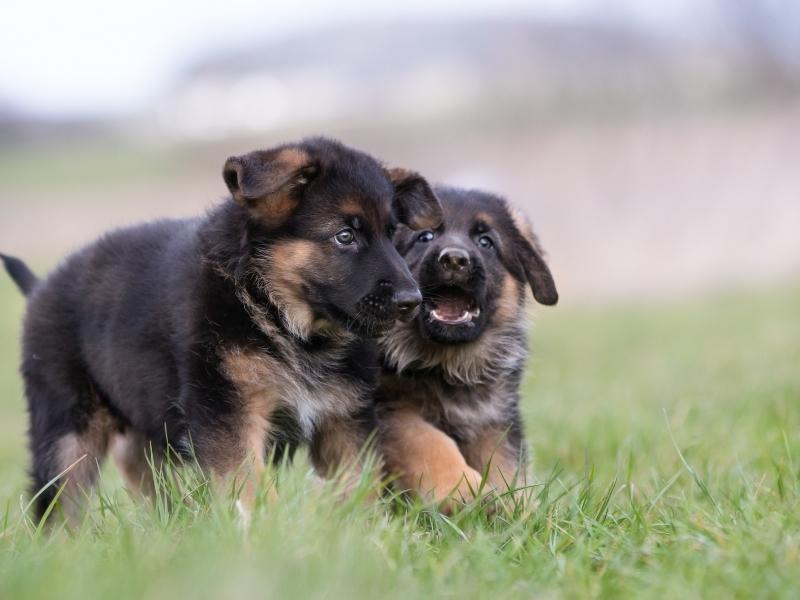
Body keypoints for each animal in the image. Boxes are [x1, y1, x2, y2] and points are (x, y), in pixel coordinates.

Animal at [0, 137, 440, 524]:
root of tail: (40, 286)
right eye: (345, 236)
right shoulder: (228, 411)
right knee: (60, 501)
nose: (412, 300)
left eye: (392, 234)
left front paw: (359, 540)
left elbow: (357, 490)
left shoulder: (344, 419)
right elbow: (248, 486)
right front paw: (261, 537)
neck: (279, 316)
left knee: (140, 467)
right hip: (66, 424)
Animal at [376, 185, 556, 508]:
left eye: (486, 242)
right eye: (425, 237)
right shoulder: (390, 409)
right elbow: (428, 442)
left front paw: (519, 507)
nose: (455, 260)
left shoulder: (491, 419)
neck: (446, 364)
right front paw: (465, 492)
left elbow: (505, 465)